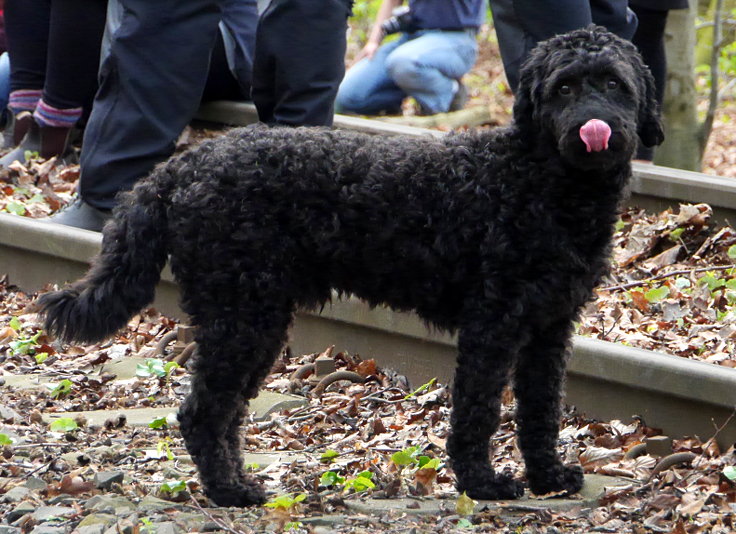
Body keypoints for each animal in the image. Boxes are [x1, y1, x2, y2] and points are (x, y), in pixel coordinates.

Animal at [37, 27, 664, 508]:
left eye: (614, 84)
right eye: (564, 87)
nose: (593, 127)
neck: (539, 183)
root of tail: (181, 166)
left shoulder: (550, 328)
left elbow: (541, 409)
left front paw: (548, 477)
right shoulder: (493, 325)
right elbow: (479, 409)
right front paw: (482, 483)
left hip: (251, 318)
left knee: (224, 411)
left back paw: (235, 482)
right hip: (243, 316)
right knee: (202, 411)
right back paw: (230, 493)